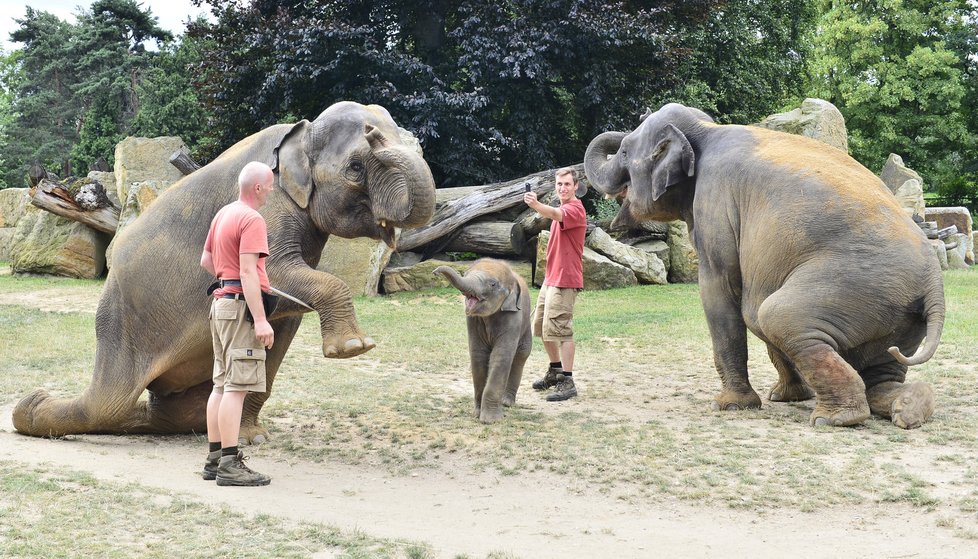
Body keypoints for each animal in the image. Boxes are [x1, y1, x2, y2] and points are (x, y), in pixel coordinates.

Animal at [14, 100, 434, 442]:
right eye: (355, 167)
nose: (375, 131)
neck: (303, 131)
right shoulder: (265, 206)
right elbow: (270, 274)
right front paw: (353, 349)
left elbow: (281, 321)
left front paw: (253, 439)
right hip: (122, 324)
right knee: (107, 403)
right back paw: (31, 406)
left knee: (169, 413)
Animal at [432, 260, 528, 422]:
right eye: (465, 274)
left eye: (493, 284)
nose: (435, 272)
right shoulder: (472, 321)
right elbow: (478, 355)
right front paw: (477, 414)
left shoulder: (513, 317)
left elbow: (500, 356)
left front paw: (490, 420)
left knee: (521, 356)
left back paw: (507, 402)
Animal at [584, 104, 940, 428]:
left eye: (625, 151)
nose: (640, 113)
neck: (705, 130)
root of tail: (932, 285)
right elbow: (750, 310)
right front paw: (783, 397)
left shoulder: (714, 202)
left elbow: (722, 290)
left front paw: (729, 406)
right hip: (898, 319)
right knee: (879, 369)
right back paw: (908, 408)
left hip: (856, 286)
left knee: (777, 316)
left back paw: (835, 419)